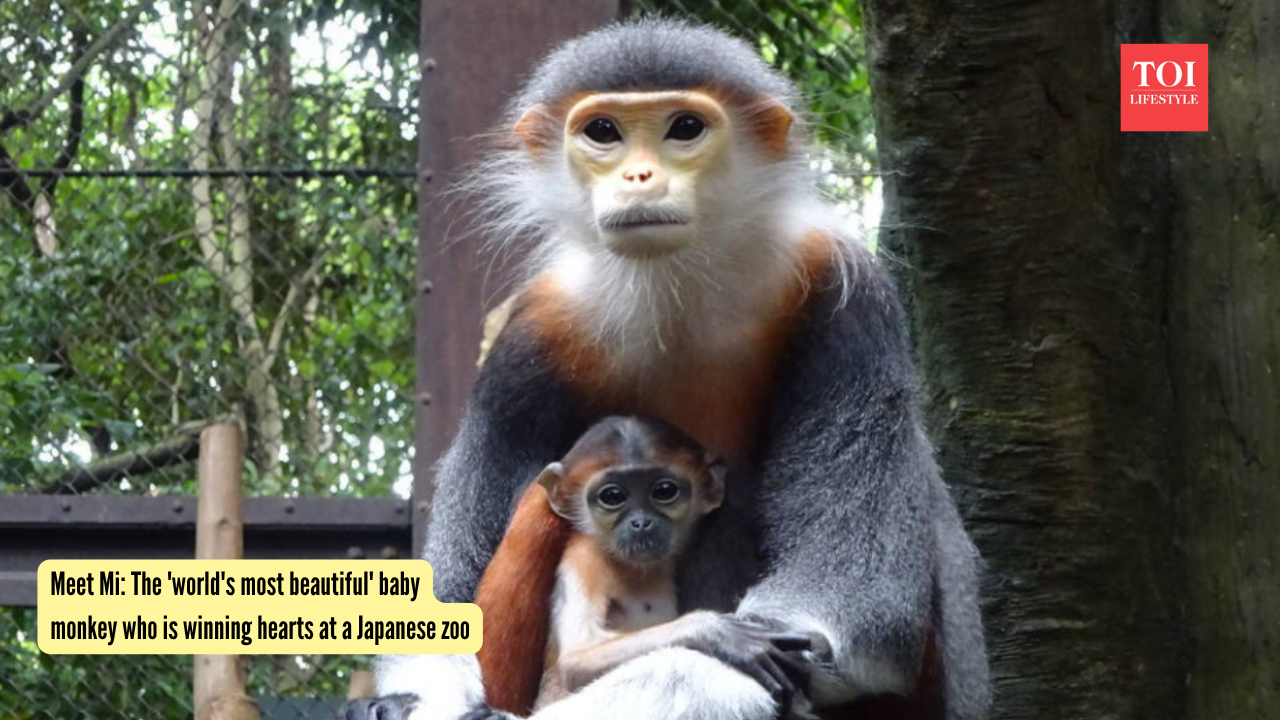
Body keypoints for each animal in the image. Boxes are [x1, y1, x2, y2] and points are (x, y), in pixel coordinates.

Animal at [467, 416, 812, 719]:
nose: (641, 522)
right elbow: (576, 660)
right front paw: (716, 632)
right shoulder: (585, 557)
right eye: (612, 496)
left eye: (664, 491)